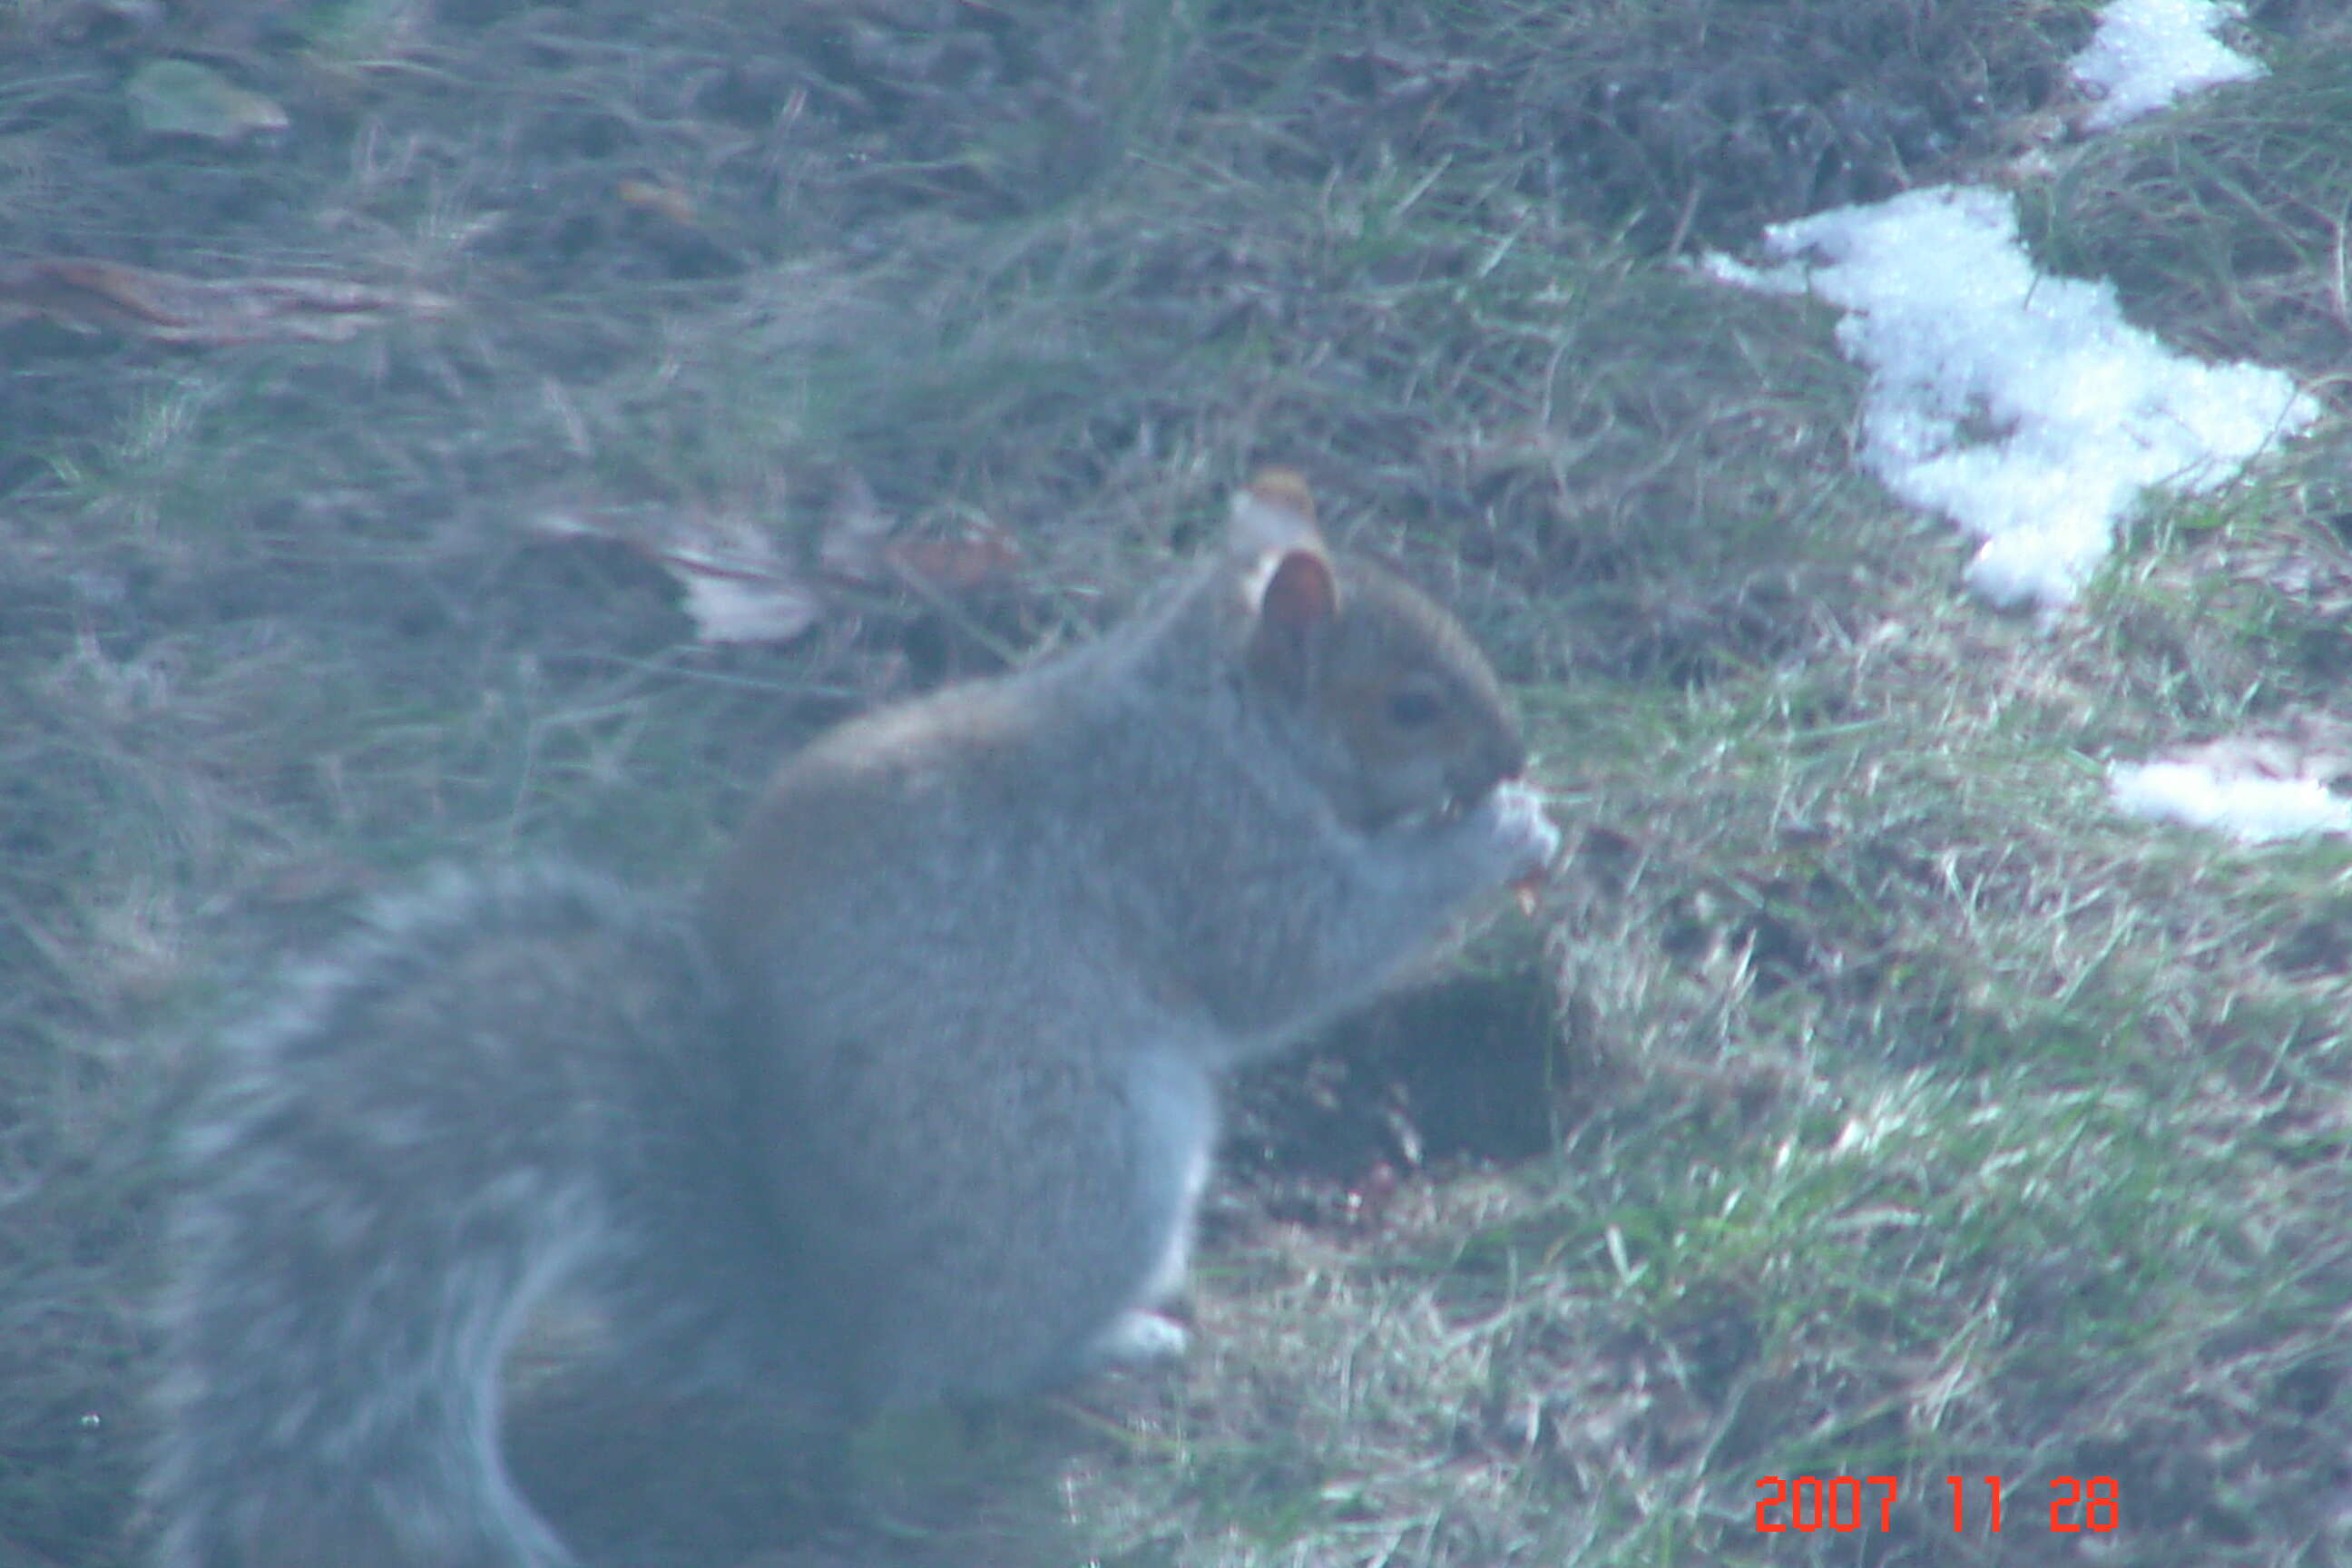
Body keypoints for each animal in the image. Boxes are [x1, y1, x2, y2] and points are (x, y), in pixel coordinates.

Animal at [137, 475, 1552, 1568]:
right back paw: (1119, 1338)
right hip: (1091, 1171)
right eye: (1412, 702)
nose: (1513, 752)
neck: (1213, 709)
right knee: (974, 1371)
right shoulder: (1196, 835)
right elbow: (1300, 949)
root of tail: (838, 1337)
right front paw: (1496, 838)